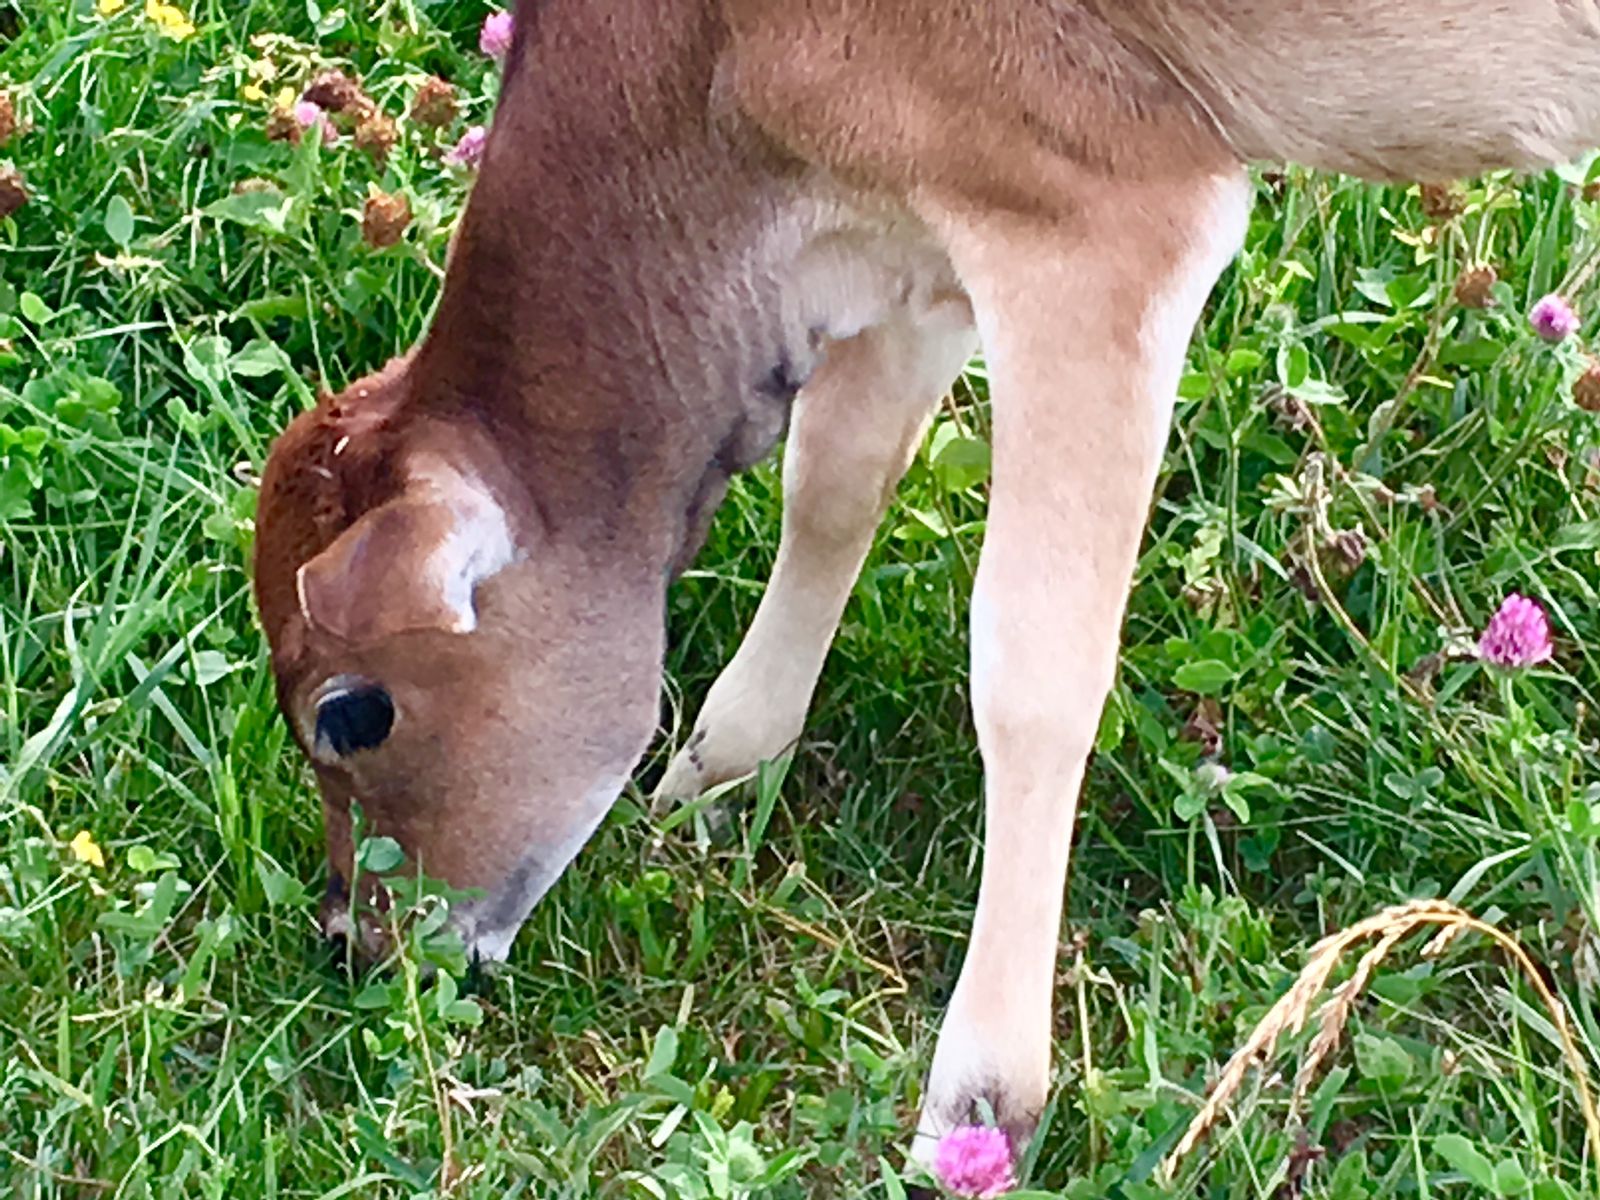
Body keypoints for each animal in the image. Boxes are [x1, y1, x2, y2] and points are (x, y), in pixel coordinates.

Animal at [252, 0, 1600, 1173]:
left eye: (349, 713)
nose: (352, 946)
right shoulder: (913, 224)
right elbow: (836, 479)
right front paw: (718, 771)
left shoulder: (1099, 217)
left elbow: (1031, 666)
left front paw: (985, 1094)